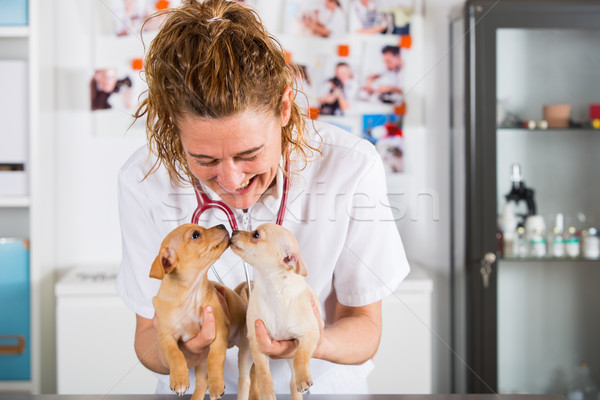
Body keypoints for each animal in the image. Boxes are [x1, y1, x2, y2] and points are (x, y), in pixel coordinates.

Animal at [152, 223, 253, 400]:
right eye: (195, 235)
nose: (221, 224)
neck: (190, 295)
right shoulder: (166, 337)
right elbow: (175, 354)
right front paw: (179, 380)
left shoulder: (219, 330)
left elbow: (215, 357)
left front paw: (217, 385)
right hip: (200, 361)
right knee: (201, 382)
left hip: (245, 350)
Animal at [229, 223, 322, 398]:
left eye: (256, 235)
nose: (234, 230)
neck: (273, 288)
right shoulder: (257, 344)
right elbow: (264, 373)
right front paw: (267, 393)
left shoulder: (309, 333)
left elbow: (301, 356)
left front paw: (303, 378)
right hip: (245, 354)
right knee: (244, 380)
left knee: (292, 382)